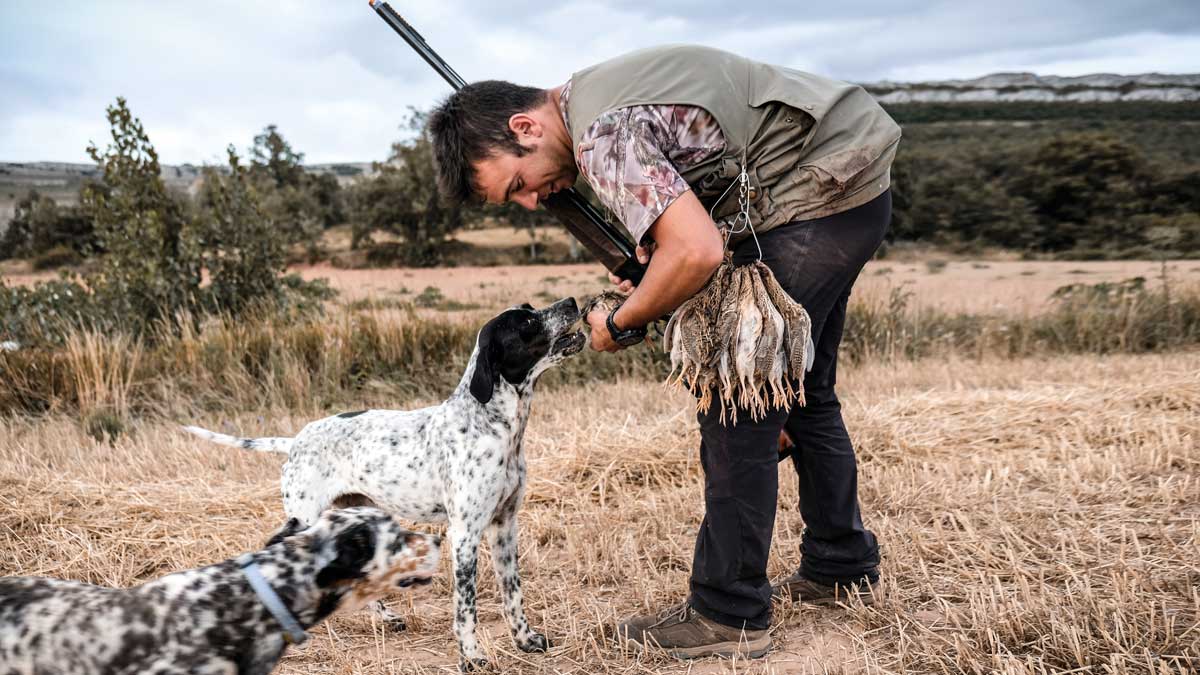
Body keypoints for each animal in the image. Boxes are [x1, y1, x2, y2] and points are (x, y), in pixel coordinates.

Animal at [182, 297, 585, 667]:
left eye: (531, 309)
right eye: (527, 321)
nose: (571, 301)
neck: (494, 425)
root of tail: (295, 440)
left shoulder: (505, 527)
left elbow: (513, 593)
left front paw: (526, 640)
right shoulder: (465, 534)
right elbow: (465, 607)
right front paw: (471, 657)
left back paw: (386, 617)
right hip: (306, 519)